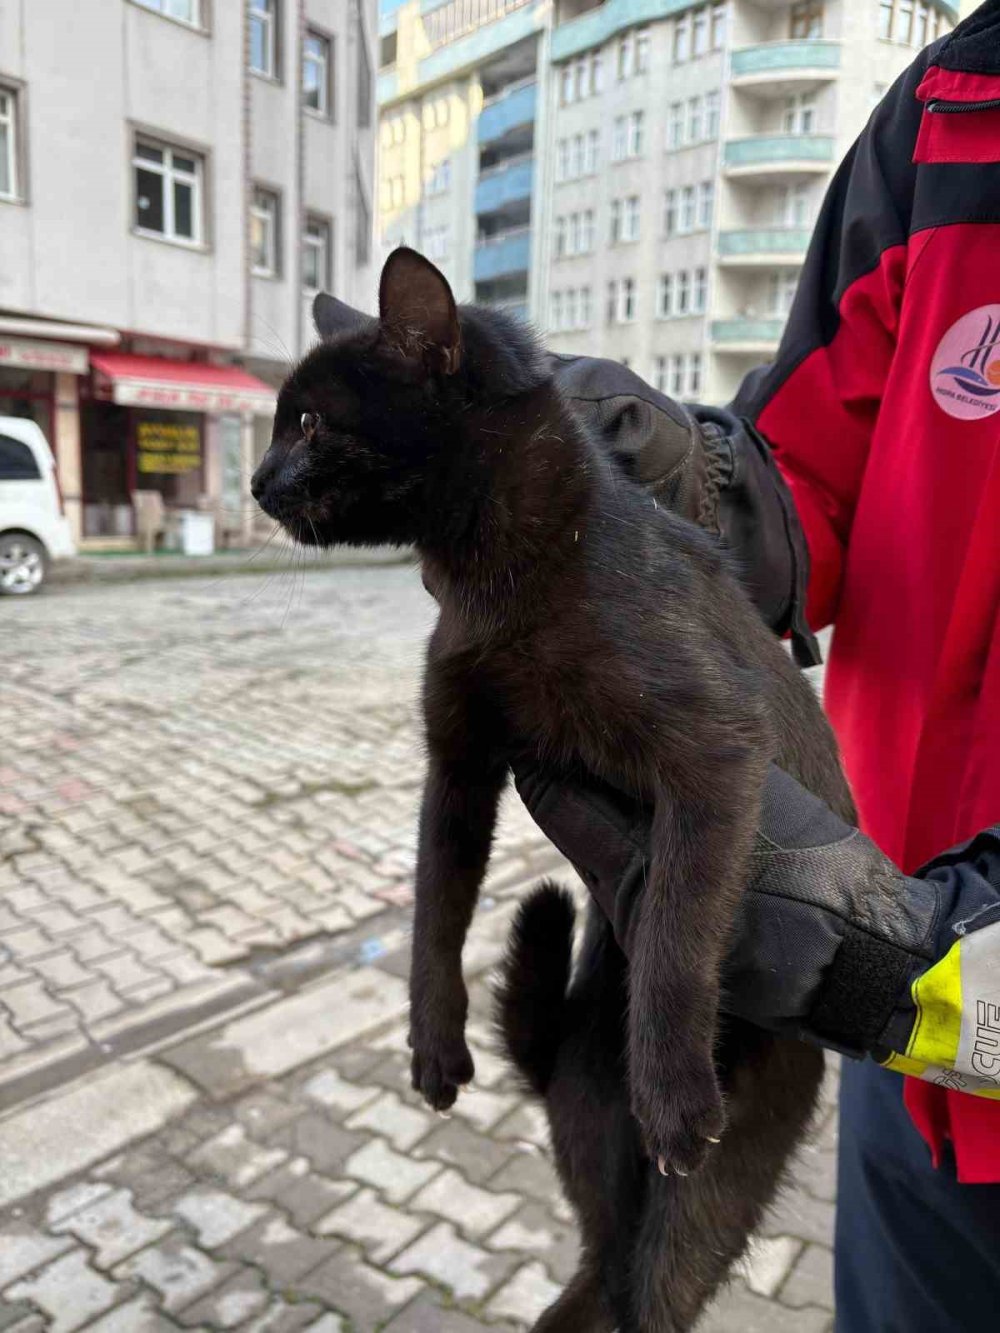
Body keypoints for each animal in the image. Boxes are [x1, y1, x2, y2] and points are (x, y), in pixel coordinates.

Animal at [250, 250, 853, 1333]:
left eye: (308, 422)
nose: (255, 479)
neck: (497, 570)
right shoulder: (458, 761)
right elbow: (435, 912)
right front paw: (433, 1041)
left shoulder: (713, 753)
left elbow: (673, 930)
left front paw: (672, 1087)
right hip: (611, 1183)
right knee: (592, 1296)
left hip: (706, 1198)